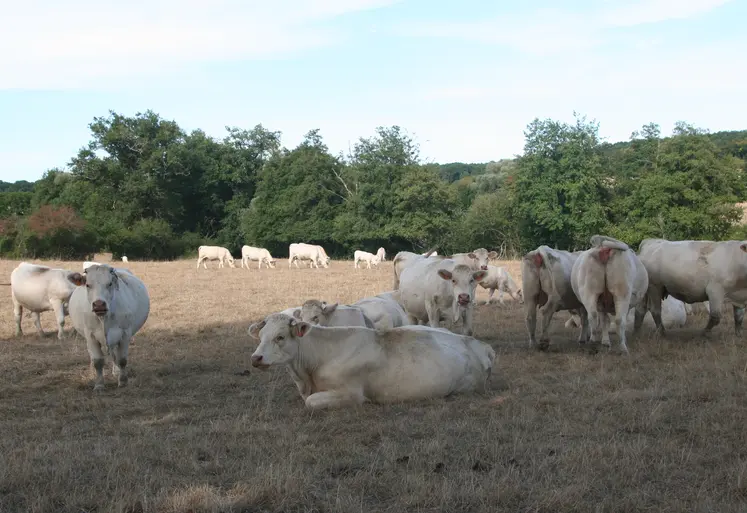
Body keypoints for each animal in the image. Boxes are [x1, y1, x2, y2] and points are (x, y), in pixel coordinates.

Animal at [247, 313, 496, 409]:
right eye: (261, 336)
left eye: (280, 337)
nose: (255, 358)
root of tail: (478, 344)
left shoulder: (350, 394)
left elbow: (311, 402)